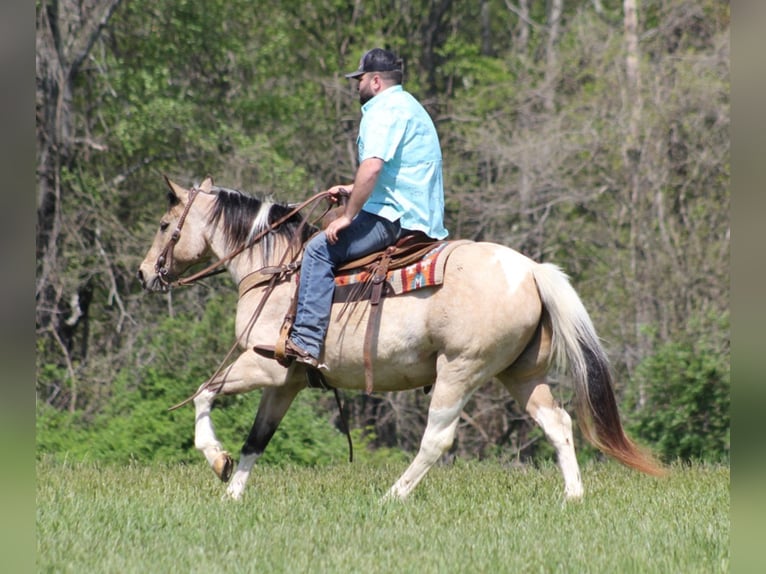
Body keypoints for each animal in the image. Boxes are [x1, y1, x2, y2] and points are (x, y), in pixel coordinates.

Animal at [138, 178, 664, 502]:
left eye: (164, 225)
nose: (144, 273)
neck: (275, 270)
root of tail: (532, 270)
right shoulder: (286, 382)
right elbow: (257, 437)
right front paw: (232, 490)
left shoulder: (262, 364)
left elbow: (203, 394)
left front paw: (216, 459)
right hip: (521, 375)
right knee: (558, 423)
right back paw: (573, 496)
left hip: (460, 369)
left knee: (438, 438)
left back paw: (393, 494)